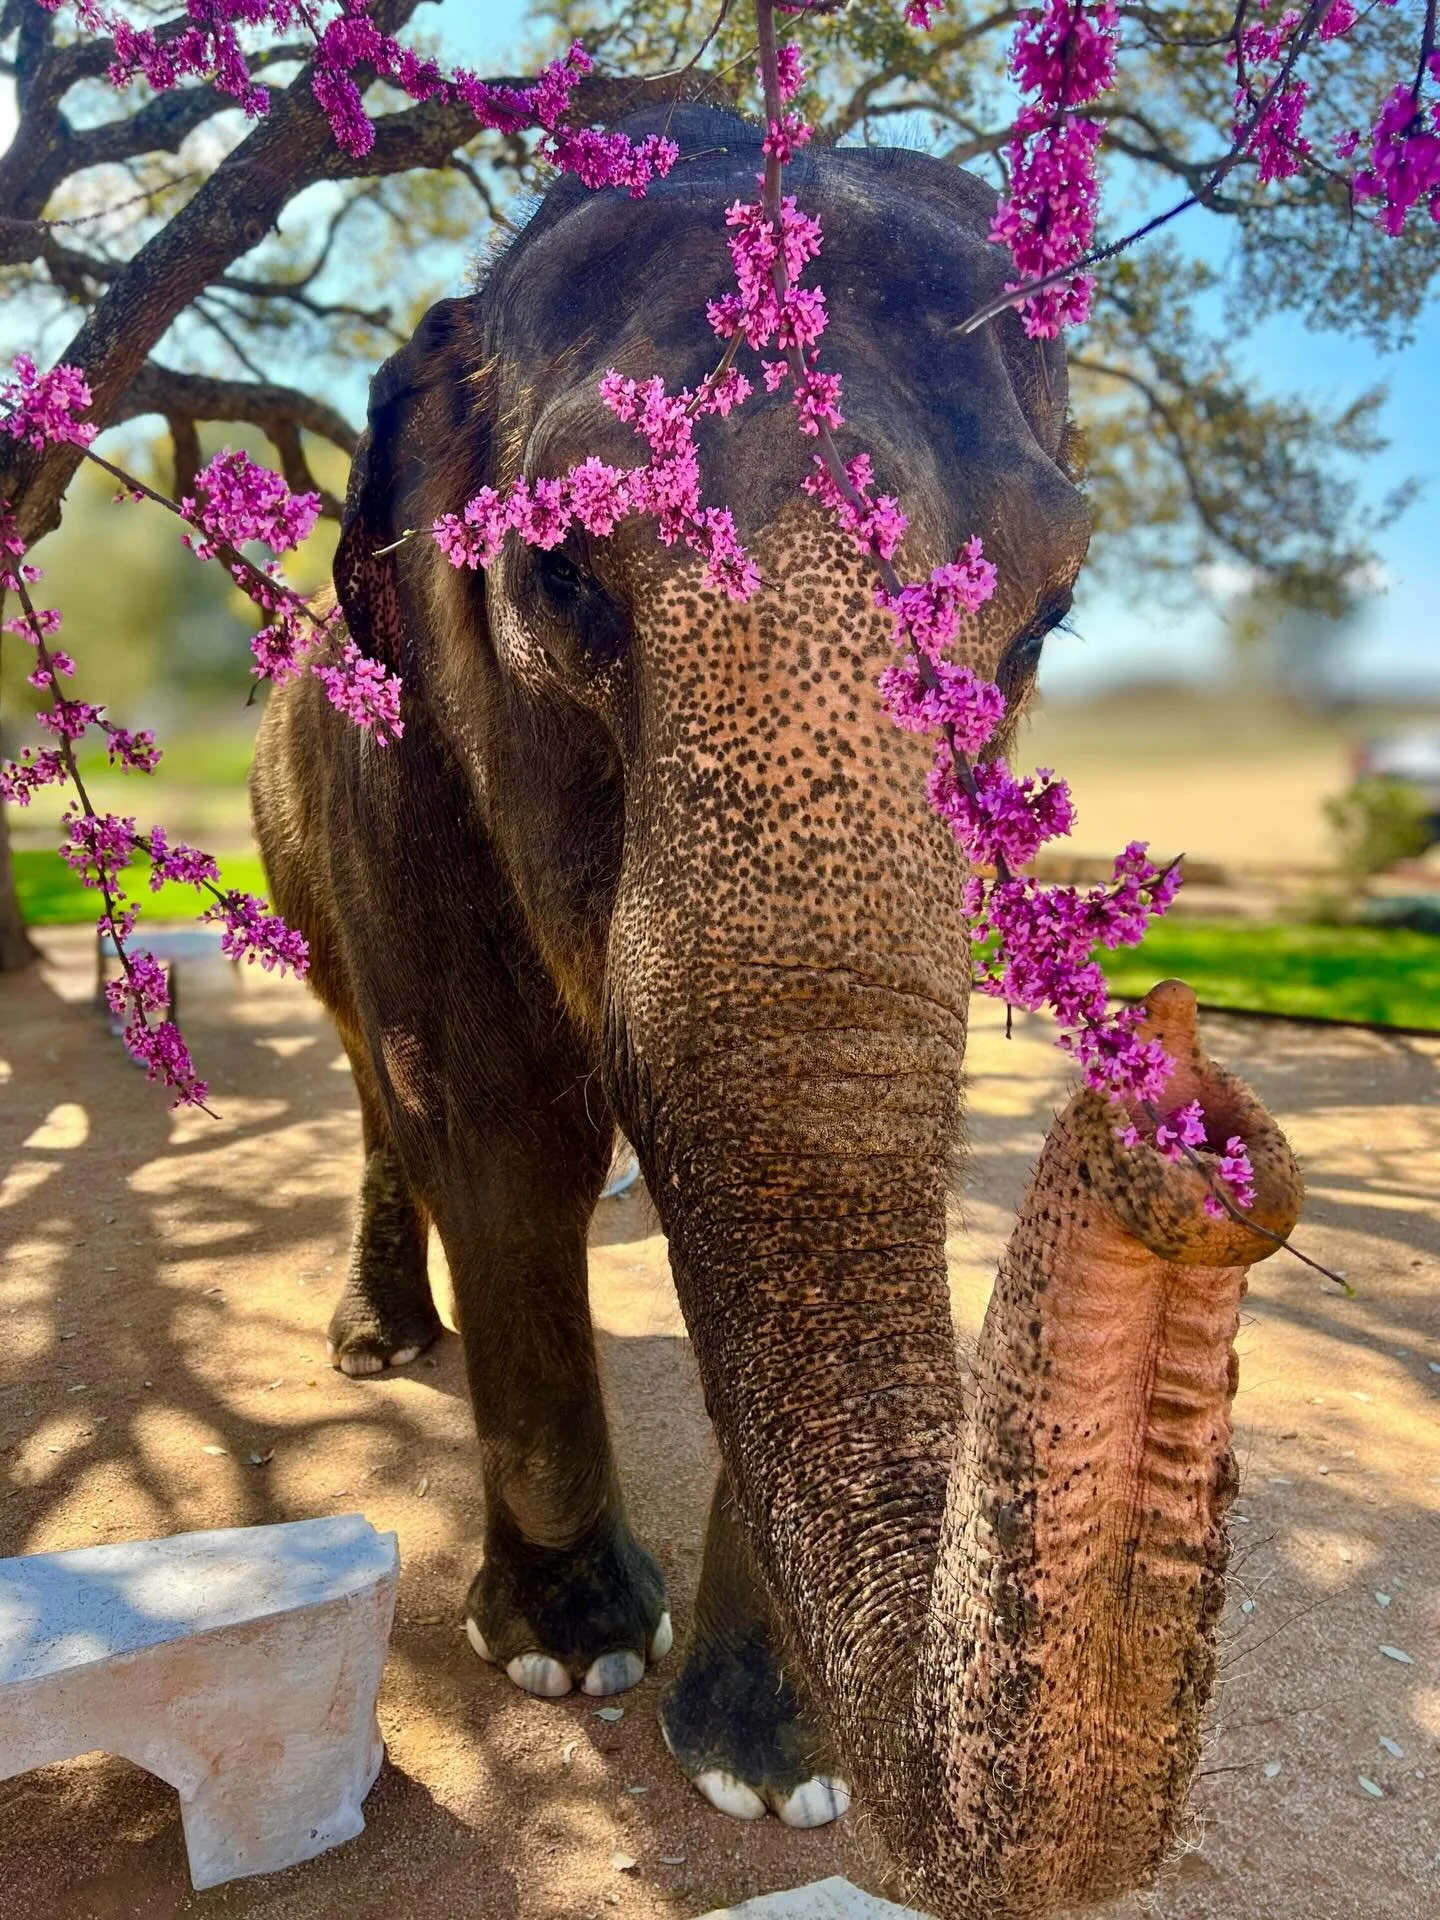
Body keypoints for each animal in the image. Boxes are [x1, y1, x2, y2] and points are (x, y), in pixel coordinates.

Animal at [250, 107, 1304, 1917]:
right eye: (556, 572)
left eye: (1052, 615)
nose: (1186, 1126)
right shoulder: (408, 777)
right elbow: (504, 1139)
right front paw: (575, 1655)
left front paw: (770, 1771)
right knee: (383, 1084)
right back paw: (385, 1342)